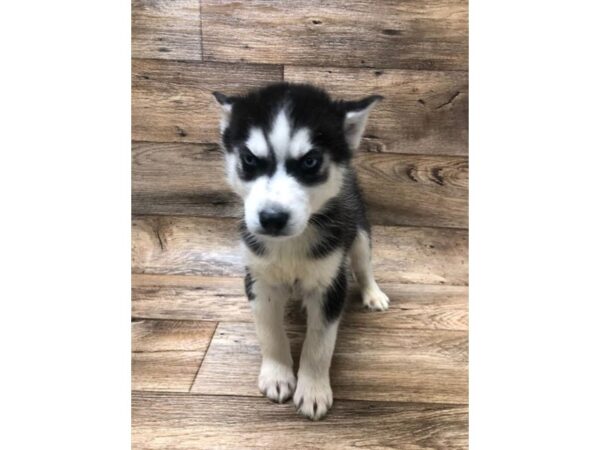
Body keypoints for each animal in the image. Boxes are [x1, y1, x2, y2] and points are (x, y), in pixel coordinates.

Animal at [212, 82, 390, 420]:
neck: (289, 244)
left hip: (358, 231)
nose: (272, 218)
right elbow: (270, 332)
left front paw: (313, 390)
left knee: (363, 264)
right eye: (249, 159)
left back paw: (373, 293)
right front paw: (278, 374)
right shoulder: (259, 280)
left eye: (310, 162)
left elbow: (319, 344)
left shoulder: (330, 284)